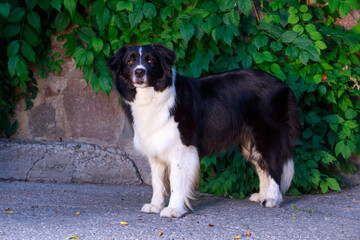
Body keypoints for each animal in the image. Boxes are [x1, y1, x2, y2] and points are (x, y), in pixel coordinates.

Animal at [108, 42, 300, 218]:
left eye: (151, 61)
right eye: (130, 61)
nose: (139, 72)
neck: (153, 95)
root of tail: (283, 86)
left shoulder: (181, 148)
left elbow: (177, 181)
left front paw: (173, 209)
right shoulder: (157, 147)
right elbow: (157, 182)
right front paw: (155, 205)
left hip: (267, 135)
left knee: (273, 166)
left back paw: (273, 199)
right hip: (250, 141)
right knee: (262, 166)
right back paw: (262, 195)